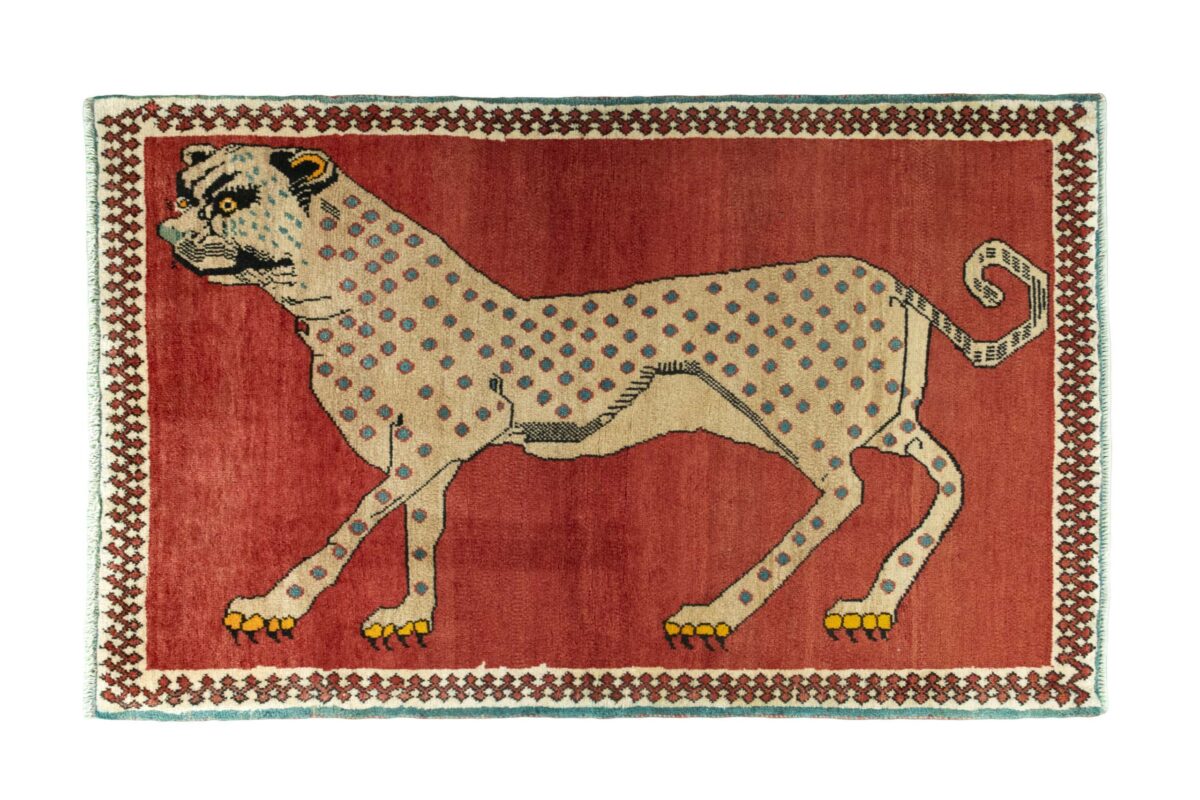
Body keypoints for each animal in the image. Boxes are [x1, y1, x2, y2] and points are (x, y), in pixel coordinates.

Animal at [157, 143, 1049, 649]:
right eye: (183, 191)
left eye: (230, 200)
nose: (167, 232)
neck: (332, 282)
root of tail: (882, 272)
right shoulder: (430, 454)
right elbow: (419, 527)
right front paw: (411, 614)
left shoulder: (447, 434)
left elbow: (355, 521)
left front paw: (276, 604)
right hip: (870, 421)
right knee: (947, 478)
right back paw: (875, 602)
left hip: (799, 421)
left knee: (845, 493)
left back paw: (721, 611)